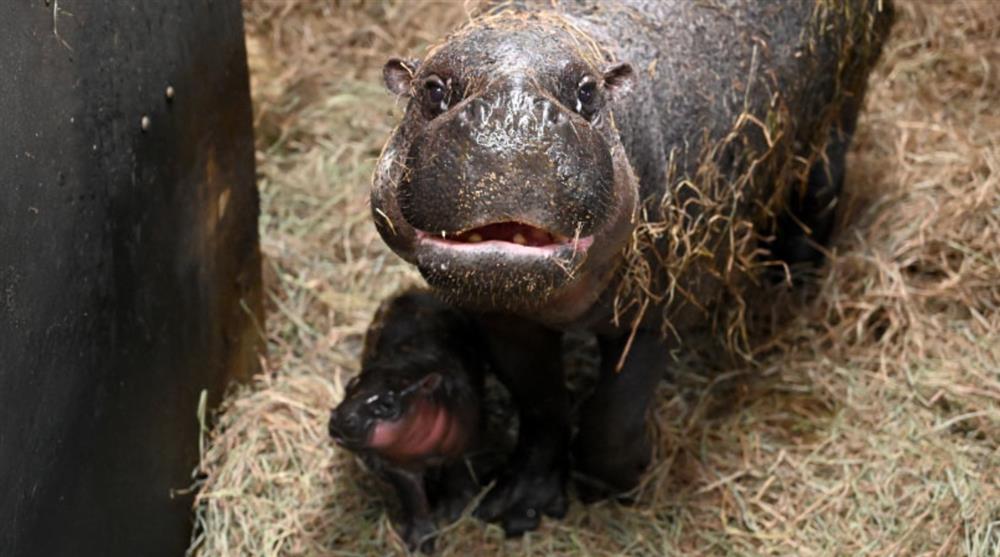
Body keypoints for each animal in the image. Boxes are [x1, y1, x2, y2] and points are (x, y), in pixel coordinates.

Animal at [326, 292, 486, 552]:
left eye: (388, 404)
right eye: (349, 385)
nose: (340, 417)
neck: (408, 370)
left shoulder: (464, 442)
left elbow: (458, 473)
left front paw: (453, 512)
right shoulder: (399, 465)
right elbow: (413, 498)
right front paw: (420, 542)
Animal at [366, 0, 892, 536]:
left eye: (586, 91)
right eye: (432, 89)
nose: (510, 117)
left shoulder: (657, 310)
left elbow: (614, 416)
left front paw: (622, 485)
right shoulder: (503, 319)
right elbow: (540, 403)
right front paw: (520, 509)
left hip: (841, 107)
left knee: (821, 182)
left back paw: (791, 280)